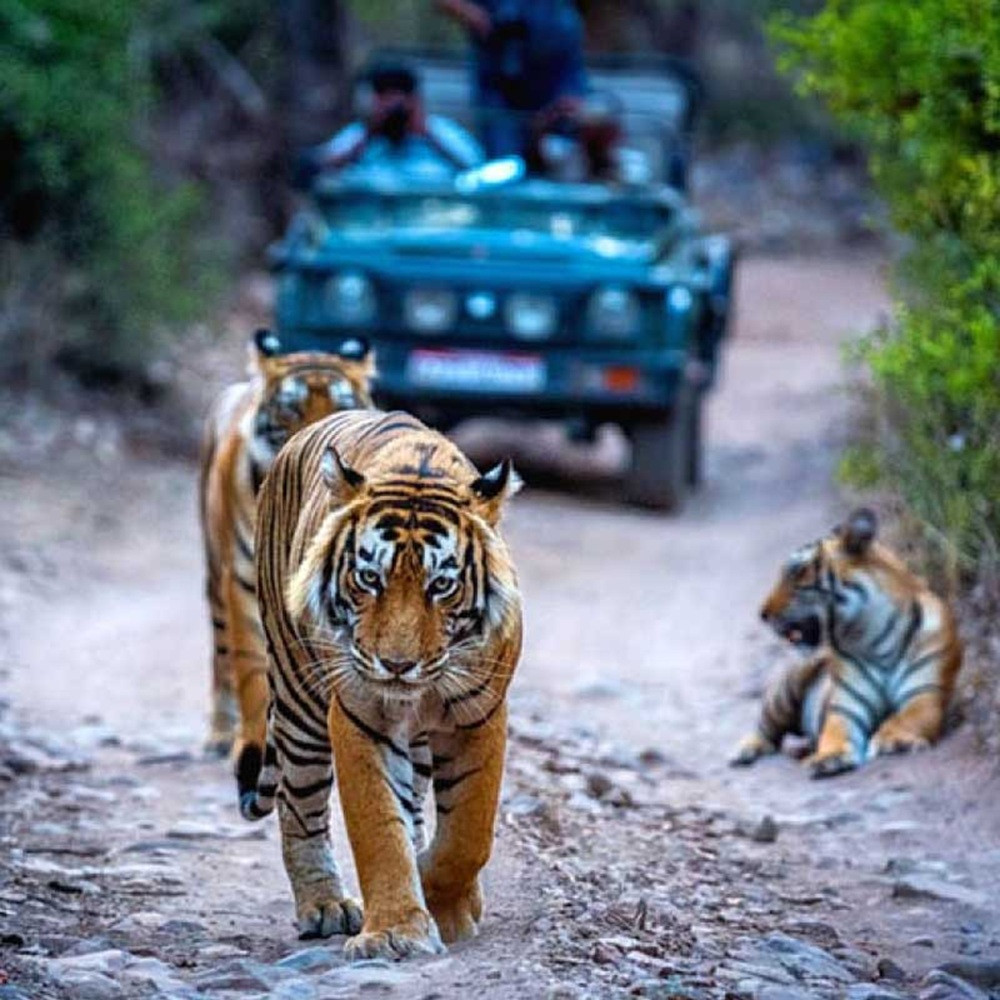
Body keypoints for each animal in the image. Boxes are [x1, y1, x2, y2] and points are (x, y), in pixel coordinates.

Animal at [199, 328, 375, 758]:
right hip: (215, 575)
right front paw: (252, 740)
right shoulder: (244, 580)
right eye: (291, 409)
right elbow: (250, 669)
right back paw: (219, 733)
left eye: (342, 406)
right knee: (221, 654)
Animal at [238, 408, 523, 960]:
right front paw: (395, 930)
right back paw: (325, 906)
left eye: (442, 585)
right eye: (369, 578)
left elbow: (469, 832)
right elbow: (379, 829)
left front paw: (445, 901)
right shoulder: (359, 714)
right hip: (299, 700)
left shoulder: (481, 714)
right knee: (300, 807)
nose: (395, 665)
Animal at [731, 508, 962, 778]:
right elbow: (835, 731)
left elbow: (907, 717)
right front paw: (829, 757)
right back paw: (744, 751)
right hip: (787, 686)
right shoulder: (845, 706)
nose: (763, 614)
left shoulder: (925, 693)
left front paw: (893, 740)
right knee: (766, 729)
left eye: (798, 572)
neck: (874, 636)